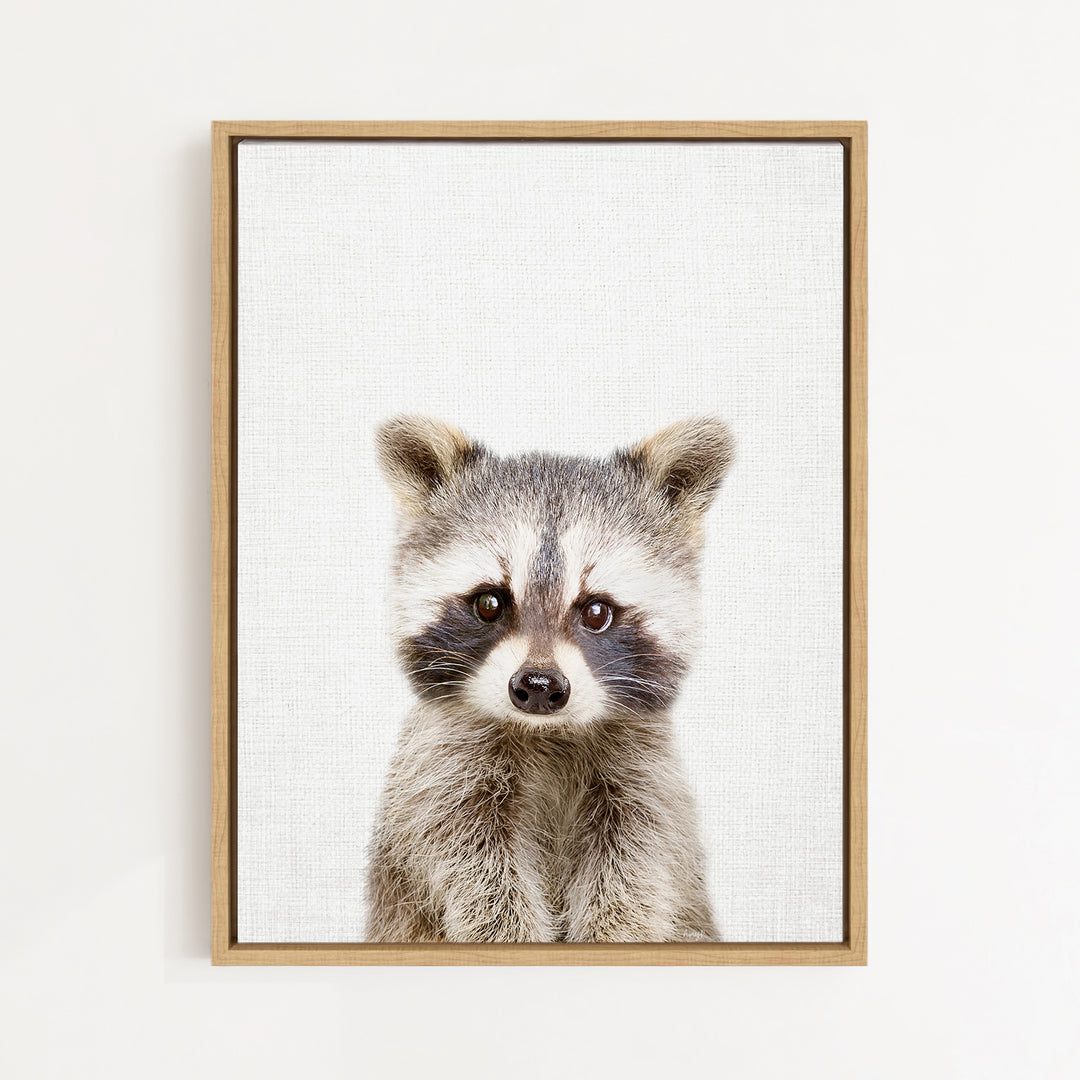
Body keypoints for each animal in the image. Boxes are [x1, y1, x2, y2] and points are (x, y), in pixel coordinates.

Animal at [365, 415, 734, 943]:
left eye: (597, 611)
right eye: (489, 603)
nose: (539, 687)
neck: (547, 733)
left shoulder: (646, 779)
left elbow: (639, 867)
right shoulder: (440, 771)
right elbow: (472, 868)